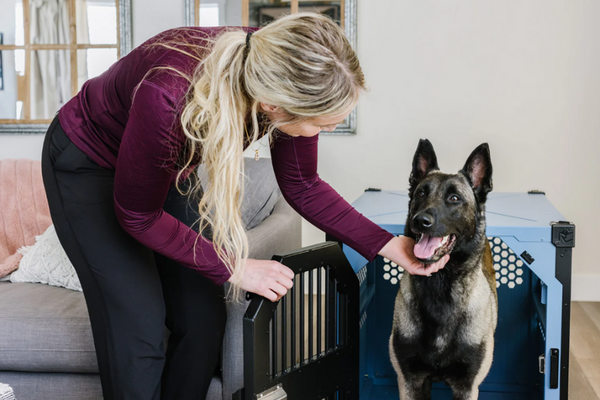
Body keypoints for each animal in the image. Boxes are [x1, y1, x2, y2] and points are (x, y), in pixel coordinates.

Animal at [390, 138, 496, 400]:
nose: (420, 221)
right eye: (421, 193)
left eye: (455, 198)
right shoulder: (410, 383)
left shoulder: (467, 387)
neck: (440, 284)